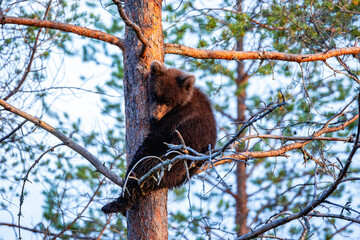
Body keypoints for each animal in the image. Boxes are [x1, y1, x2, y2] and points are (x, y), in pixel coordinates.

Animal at [102, 61, 218, 215]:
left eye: (169, 102)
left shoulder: (176, 119)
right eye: (155, 95)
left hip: (170, 162)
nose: (154, 117)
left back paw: (115, 203)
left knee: (143, 170)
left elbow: (155, 139)